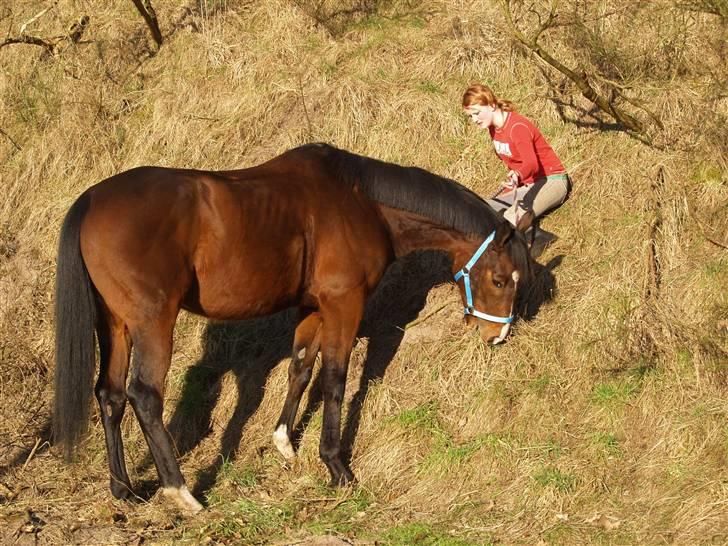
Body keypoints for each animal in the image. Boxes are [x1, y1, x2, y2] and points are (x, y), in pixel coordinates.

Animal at [49, 142, 528, 512]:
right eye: (500, 279)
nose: (499, 335)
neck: (362, 203)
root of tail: (92, 199)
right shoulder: (344, 305)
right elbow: (335, 380)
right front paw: (336, 466)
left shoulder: (312, 308)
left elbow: (300, 367)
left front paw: (284, 442)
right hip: (153, 323)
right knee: (144, 396)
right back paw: (183, 493)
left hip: (116, 324)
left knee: (110, 395)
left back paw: (124, 490)